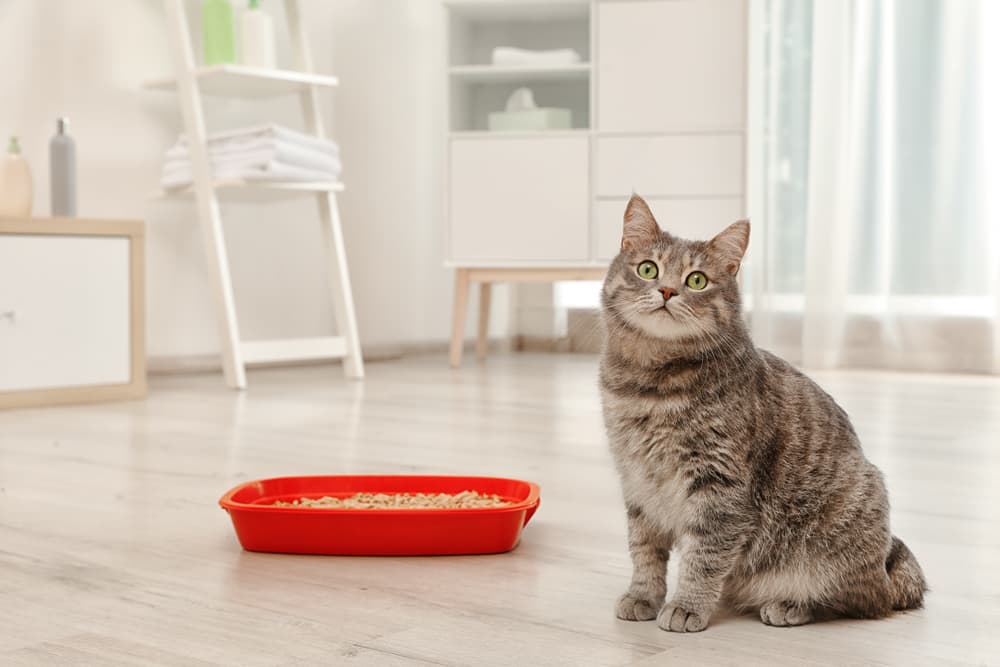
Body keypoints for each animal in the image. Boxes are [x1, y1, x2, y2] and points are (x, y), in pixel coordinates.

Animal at [596, 193, 924, 632]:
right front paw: (643, 596)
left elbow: (704, 556)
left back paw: (790, 605)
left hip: (846, 528)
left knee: (862, 601)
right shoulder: (636, 481)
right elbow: (644, 550)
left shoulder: (719, 484)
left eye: (696, 280)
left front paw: (687, 605)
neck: (649, 384)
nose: (666, 290)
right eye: (648, 269)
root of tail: (887, 562)